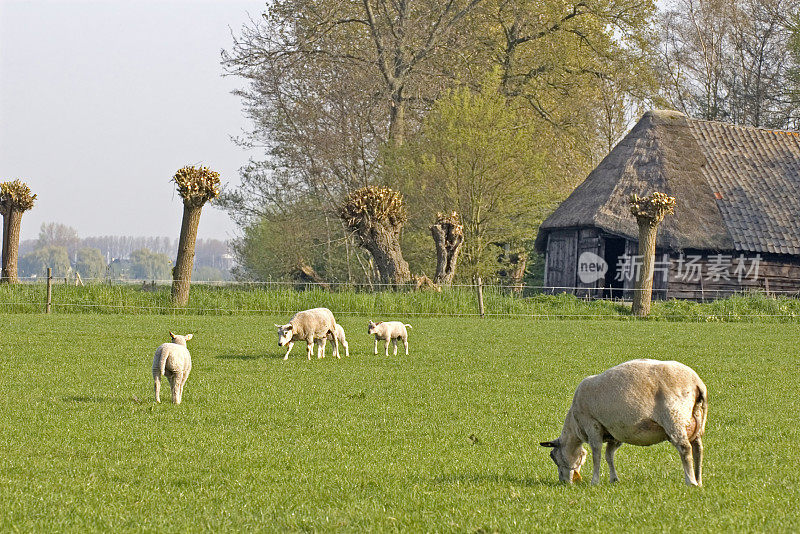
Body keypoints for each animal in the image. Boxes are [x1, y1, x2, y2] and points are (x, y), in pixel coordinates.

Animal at [540, 360, 708, 490]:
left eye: (554, 456)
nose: (563, 482)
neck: (575, 426)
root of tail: (696, 383)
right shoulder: (615, 433)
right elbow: (609, 455)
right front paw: (614, 479)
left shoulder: (592, 425)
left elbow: (596, 454)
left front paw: (595, 481)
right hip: (698, 421)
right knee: (698, 449)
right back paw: (699, 480)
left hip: (674, 418)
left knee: (685, 448)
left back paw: (691, 481)